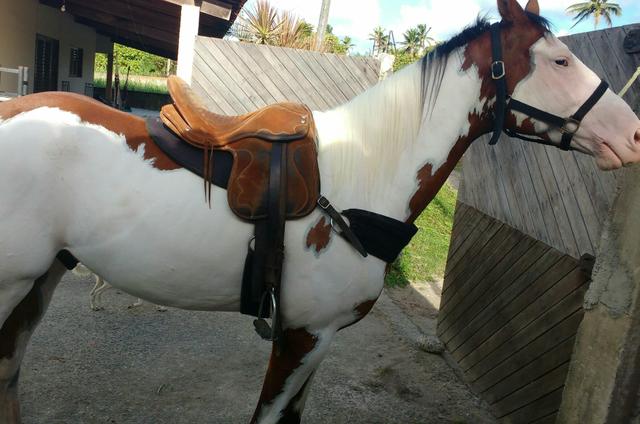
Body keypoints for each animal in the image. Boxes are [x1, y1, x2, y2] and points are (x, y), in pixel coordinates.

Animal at [1, 0, 639, 422]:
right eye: (559, 62)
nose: (632, 135)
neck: (364, 177)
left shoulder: (314, 340)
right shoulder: (303, 335)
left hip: (44, 276)